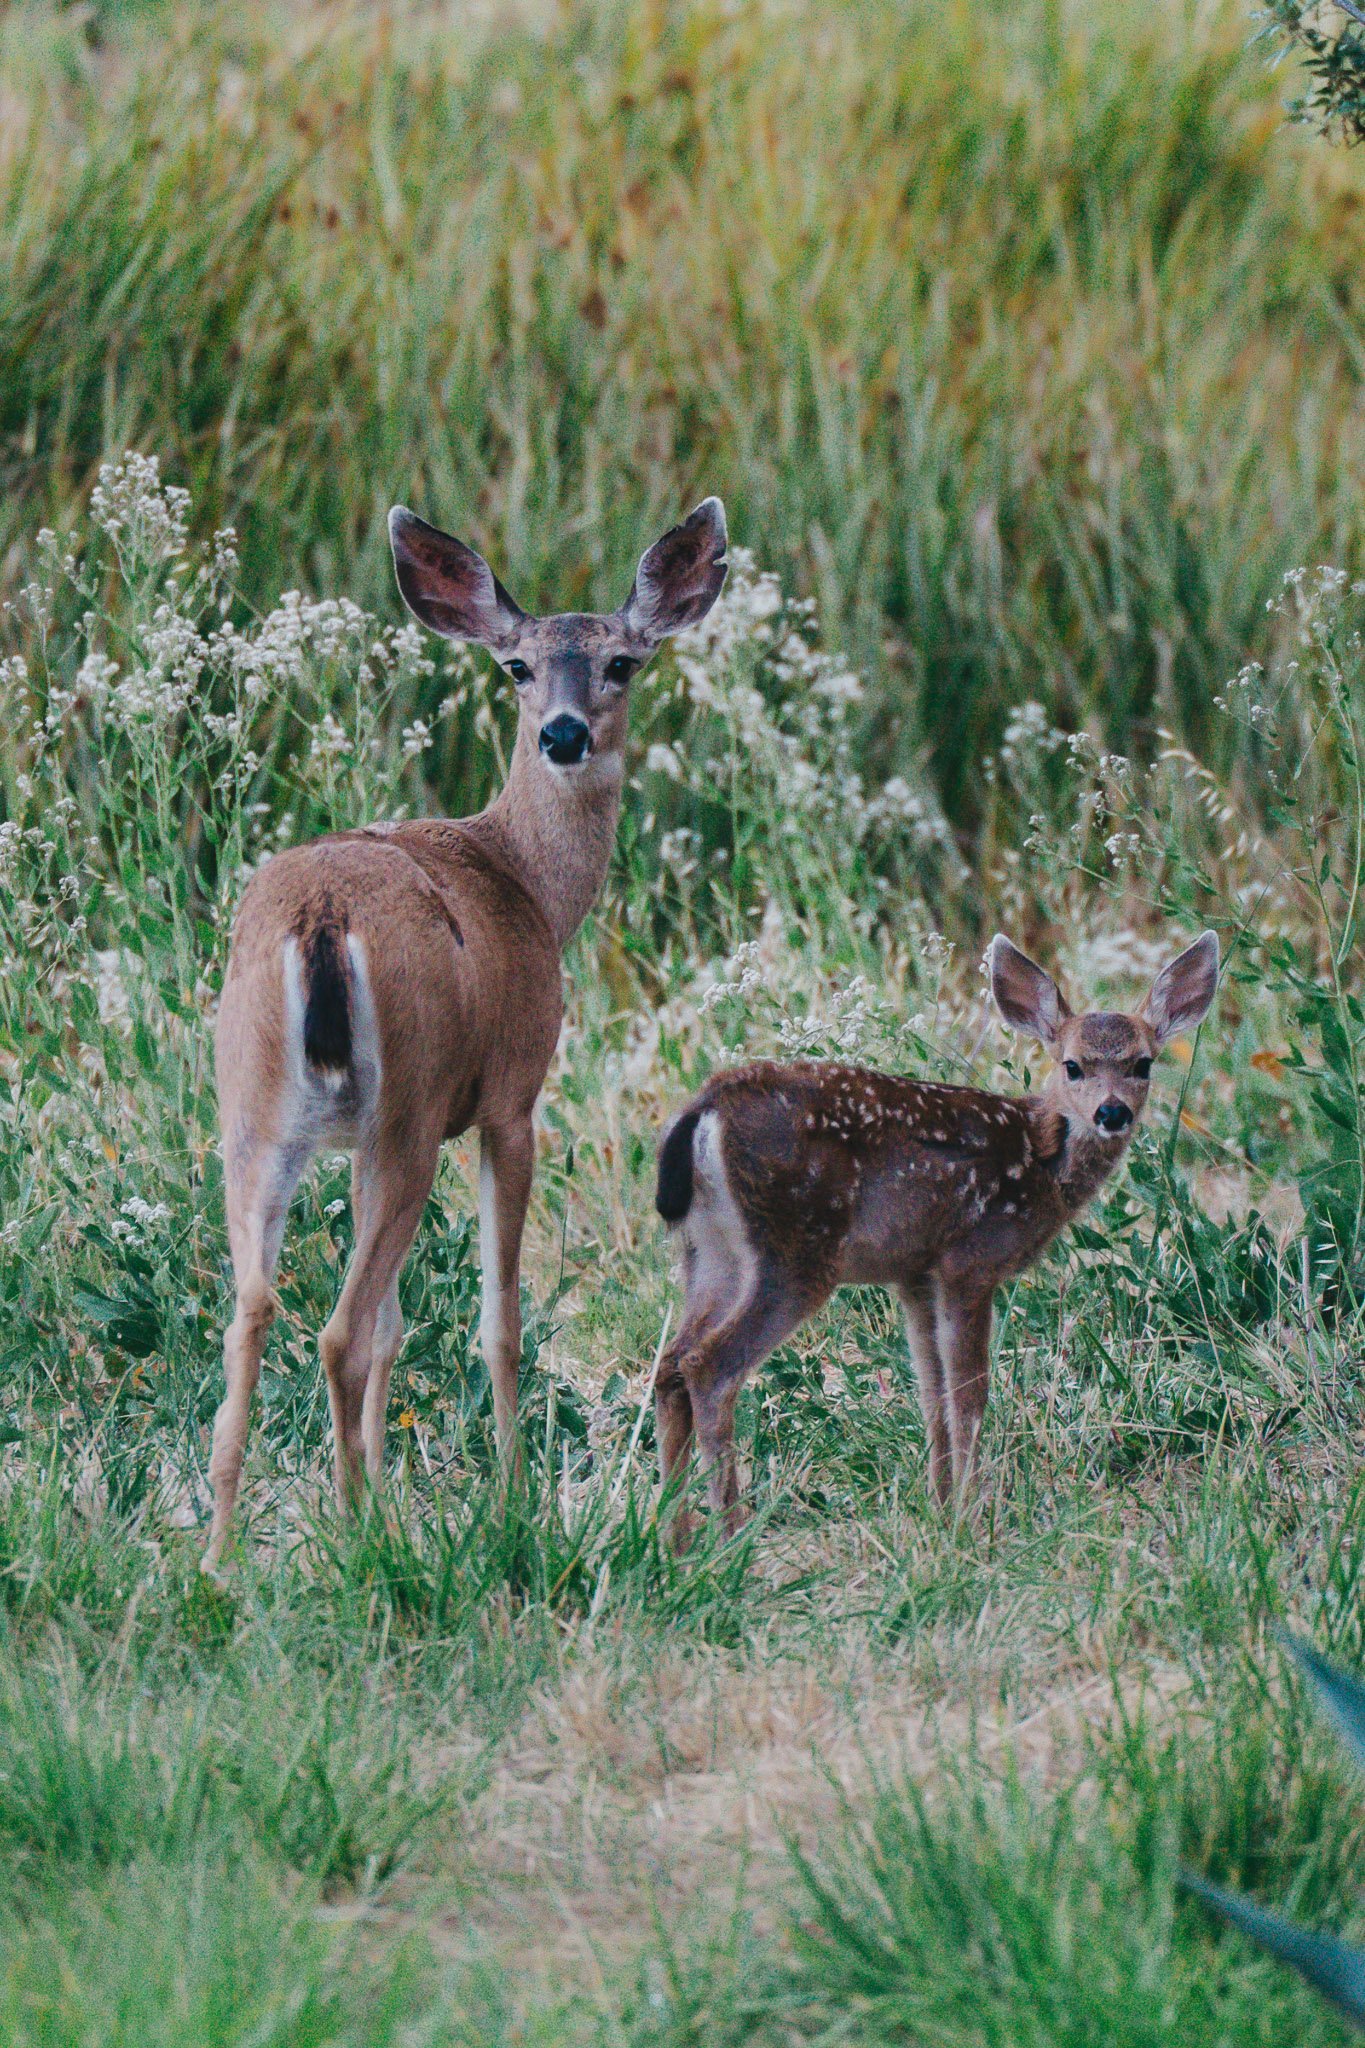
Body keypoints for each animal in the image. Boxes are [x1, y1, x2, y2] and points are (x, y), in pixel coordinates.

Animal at [202, 496, 728, 1572]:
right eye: (518, 667)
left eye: (622, 662)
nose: (565, 733)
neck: (527, 884)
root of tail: (319, 918)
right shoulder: (509, 1096)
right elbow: (498, 1319)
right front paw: (514, 1500)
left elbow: (401, 1326)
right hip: (399, 1108)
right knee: (336, 1327)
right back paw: (353, 1535)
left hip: (261, 1110)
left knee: (255, 1310)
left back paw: (221, 1555)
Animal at [652, 929, 1219, 1542]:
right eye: (1071, 1066)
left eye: (1142, 1063)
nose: (1111, 1112)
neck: (1040, 1162)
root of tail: (705, 1109)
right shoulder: (970, 1262)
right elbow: (970, 1395)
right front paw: (971, 1516)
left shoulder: (915, 1275)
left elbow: (931, 1392)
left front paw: (941, 1505)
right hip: (796, 1248)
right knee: (708, 1367)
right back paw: (731, 1533)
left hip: (709, 1253)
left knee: (669, 1365)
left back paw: (674, 1539)